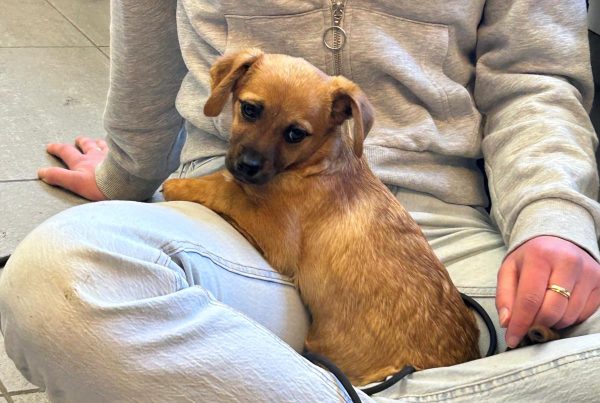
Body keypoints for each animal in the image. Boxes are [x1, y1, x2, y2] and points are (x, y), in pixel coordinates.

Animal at [162, 49, 482, 385]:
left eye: (295, 134)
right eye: (249, 110)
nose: (247, 166)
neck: (315, 165)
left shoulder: (278, 238)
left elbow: (229, 191)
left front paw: (183, 186)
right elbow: (230, 184)